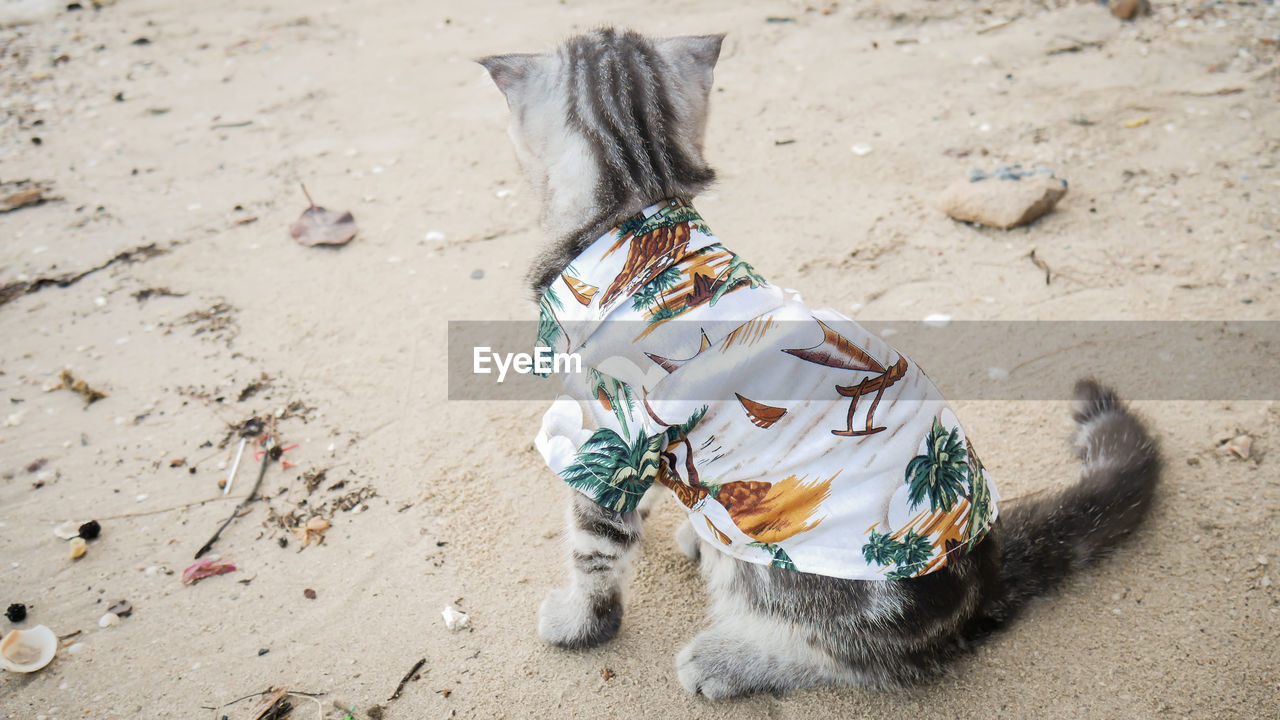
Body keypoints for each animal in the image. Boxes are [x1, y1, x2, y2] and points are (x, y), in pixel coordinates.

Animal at [478, 28, 1162, 696]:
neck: (636, 210)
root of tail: (984, 583)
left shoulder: (606, 436)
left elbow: (595, 549)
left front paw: (581, 622)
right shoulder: (640, 449)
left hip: (804, 582)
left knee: (859, 661)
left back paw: (732, 659)